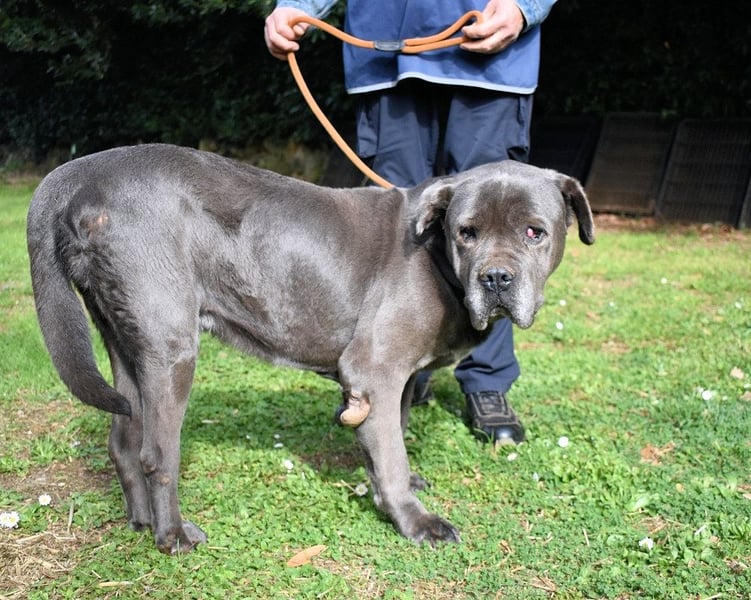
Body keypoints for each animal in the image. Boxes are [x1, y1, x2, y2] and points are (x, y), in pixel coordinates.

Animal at [27, 143, 594, 554]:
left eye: (534, 232)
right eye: (467, 233)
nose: (496, 278)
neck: (435, 255)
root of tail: (81, 172)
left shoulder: (398, 382)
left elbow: (393, 438)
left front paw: (398, 488)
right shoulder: (375, 371)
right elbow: (390, 453)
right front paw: (415, 521)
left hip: (127, 343)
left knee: (123, 440)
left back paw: (142, 522)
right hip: (171, 350)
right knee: (157, 453)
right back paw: (174, 536)